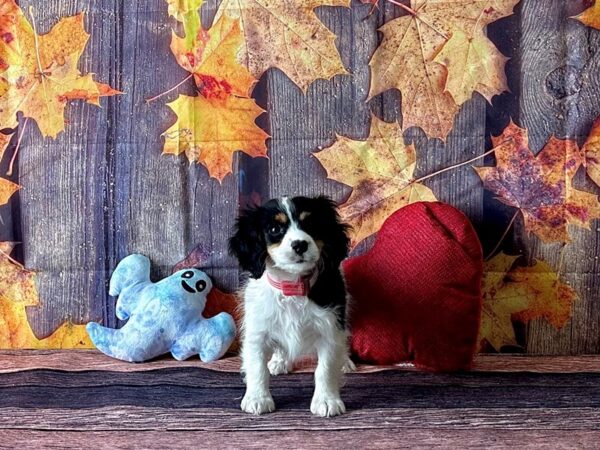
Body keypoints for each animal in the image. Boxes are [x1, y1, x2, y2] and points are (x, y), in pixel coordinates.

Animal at [229, 195, 352, 416]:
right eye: (274, 229)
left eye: (310, 223)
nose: (300, 244)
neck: (292, 286)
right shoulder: (257, 331)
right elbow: (257, 367)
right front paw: (257, 398)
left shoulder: (330, 329)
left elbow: (326, 368)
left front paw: (327, 401)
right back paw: (279, 361)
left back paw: (345, 361)